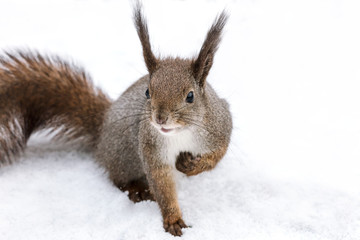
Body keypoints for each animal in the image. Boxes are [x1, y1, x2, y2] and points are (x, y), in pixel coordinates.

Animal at [0, 2, 232, 237]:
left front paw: (192, 166)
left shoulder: (220, 126)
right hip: (123, 153)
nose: (159, 118)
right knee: (117, 179)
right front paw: (173, 219)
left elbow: (217, 156)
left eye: (190, 96)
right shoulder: (151, 148)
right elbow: (162, 184)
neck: (180, 134)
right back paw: (137, 189)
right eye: (147, 92)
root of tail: (102, 129)